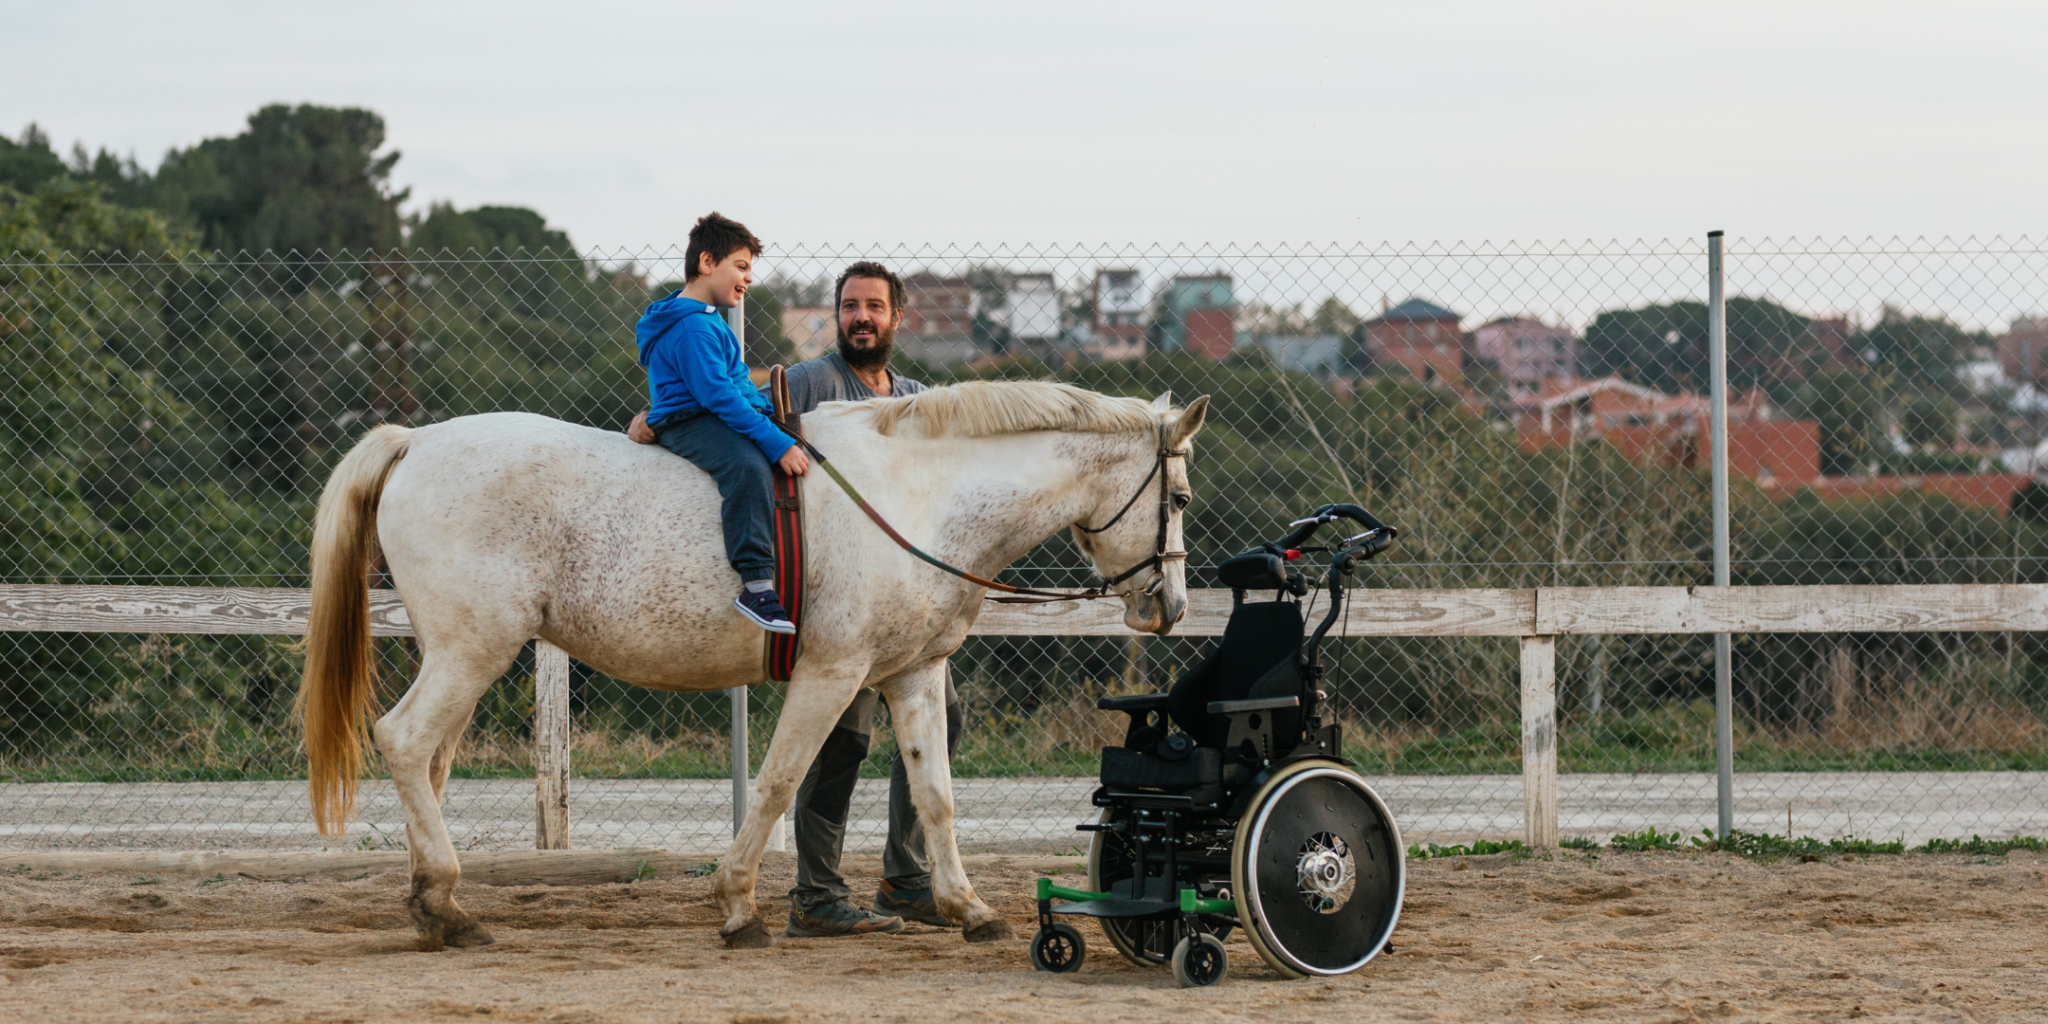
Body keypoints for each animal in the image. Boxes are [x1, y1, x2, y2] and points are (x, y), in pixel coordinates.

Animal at [296, 382, 1204, 950]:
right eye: (1181, 498)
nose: (1171, 606)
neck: (916, 497)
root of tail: (414, 441)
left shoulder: (910, 675)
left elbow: (937, 797)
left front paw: (968, 908)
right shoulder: (832, 673)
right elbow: (778, 783)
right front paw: (737, 907)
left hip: (462, 655)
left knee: (430, 760)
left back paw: (435, 902)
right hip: (473, 648)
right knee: (405, 741)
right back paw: (445, 904)